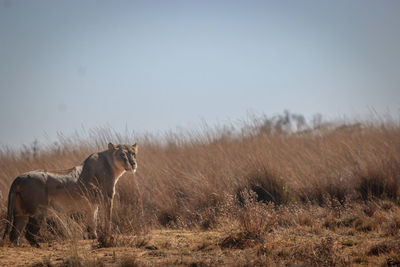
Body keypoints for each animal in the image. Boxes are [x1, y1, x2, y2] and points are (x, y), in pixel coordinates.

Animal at [1, 143, 138, 248]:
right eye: (122, 155)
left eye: (133, 154)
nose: (133, 164)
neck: (113, 166)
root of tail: (18, 178)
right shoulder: (108, 198)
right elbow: (107, 218)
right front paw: (108, 236)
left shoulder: (92, 205)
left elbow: (92, 221)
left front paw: (93, 236)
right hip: (38, 211)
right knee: (29, 233)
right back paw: (39, 246)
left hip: (20, 213)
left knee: (14, 233)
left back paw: (17, 245)